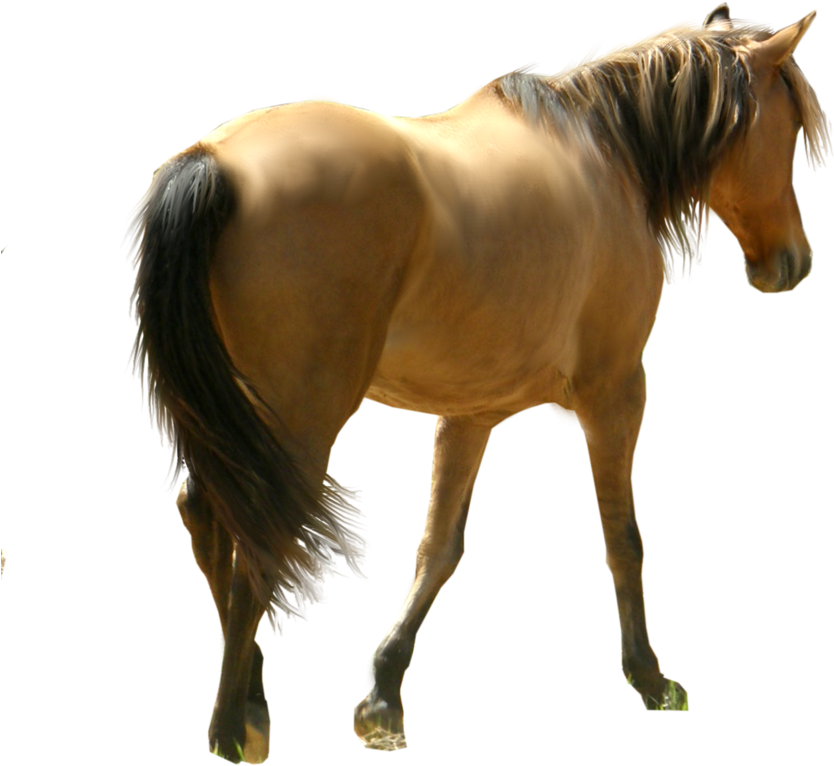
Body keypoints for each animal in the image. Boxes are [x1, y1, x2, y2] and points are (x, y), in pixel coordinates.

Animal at [123, 3, 830, 757]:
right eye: (786, 128)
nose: (793, 263)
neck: (604, 155)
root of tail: (215, 162)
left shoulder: (471, 413)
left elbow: (439, 546)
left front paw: (383, 692)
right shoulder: (616, 393)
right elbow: (623, 536)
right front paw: (648, 675)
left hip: (229, 413)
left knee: (209, 515)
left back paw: (249, 700)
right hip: (299, 413)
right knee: (252, 533)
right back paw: (232, 726)